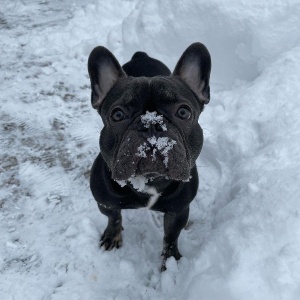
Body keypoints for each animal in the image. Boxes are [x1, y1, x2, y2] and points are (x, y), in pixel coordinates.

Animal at [88, 41, 211, 270]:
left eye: (183, 112)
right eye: (117, 114)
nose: (151, 123)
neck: (149, 181)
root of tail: (141, 55)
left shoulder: (177, 211)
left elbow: (171, 237)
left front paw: (171, 263)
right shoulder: (106, 203)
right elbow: (114, 218)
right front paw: (112, 236)